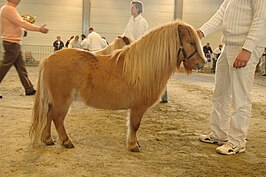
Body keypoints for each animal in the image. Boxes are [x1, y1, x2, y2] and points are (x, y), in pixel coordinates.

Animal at [30, 20, 207, 151]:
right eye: (191, 42)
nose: (202, 63)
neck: (143, 67)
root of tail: (48, 59)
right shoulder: (138, 107)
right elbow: (134, 125)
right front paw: (133, 145)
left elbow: (132, 125)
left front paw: (134, 142)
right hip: (63, 100)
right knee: (57, 118)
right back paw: (66, 141)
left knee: (48, 115)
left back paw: (47, 139)